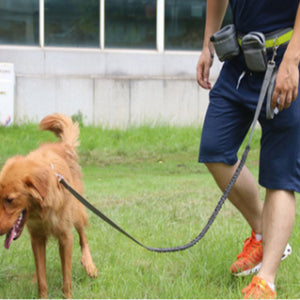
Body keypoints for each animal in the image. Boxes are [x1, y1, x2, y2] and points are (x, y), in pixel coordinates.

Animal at [0, 113, 97, 298]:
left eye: (10, 199)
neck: (42, 213)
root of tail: (63, 146)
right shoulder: (37, 238)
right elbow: (41, 278)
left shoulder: (66, 237)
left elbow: (66, 280)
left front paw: (68, 296)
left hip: (76, 211)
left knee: (84, 236)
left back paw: (89, 265)